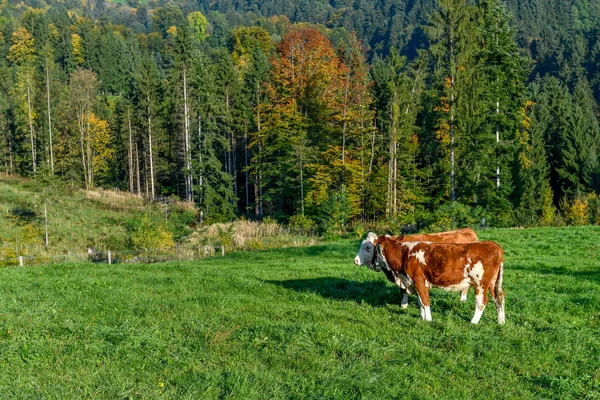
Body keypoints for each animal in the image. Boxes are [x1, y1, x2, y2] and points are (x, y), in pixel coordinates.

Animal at [366, 236, 506, 324]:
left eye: (374, 248)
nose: (372, 263)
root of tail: (493, 245)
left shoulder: (419, 281)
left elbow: (425, 300)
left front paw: (428, 319)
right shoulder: (415, 283)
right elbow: (421, 301)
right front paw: (422, 317)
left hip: (480, 283)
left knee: (482, 302)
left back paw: (473, 322)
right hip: (493, 283)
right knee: (499, 298)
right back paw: (501, 321)